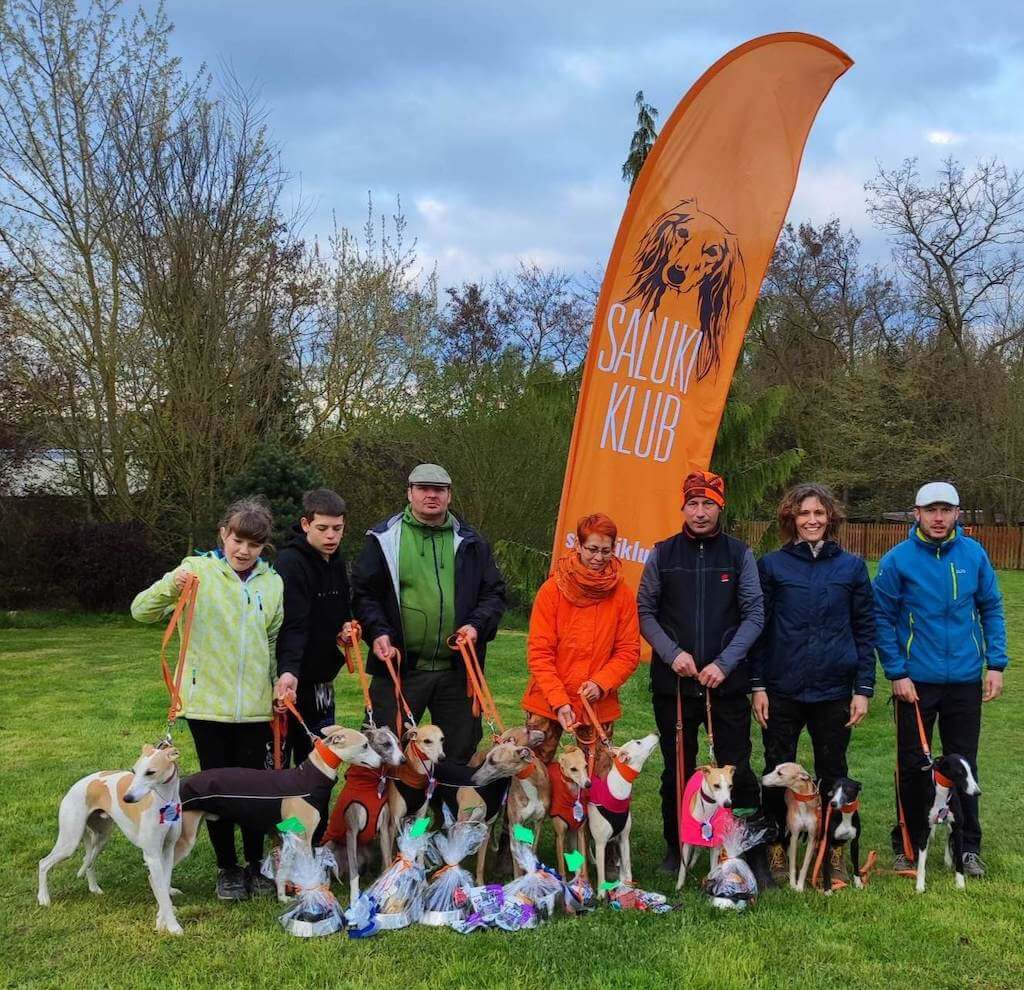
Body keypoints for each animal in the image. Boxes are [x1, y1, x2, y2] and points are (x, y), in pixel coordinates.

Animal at [38, 745, 186, 937]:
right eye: (134, 770)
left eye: (150, 772)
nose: (127, 799)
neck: (164, 800)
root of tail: (77, 785)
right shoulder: (152, 855)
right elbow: (160, 888)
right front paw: (173, 926)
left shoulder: (167, 850)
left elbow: (164, 886)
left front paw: (163, 919)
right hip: (69, 841)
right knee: (43, 863)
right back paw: (43, 898)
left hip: (101, 838)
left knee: (88, 861)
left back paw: (94, 888)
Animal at [761, 761, 823, 892]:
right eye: (775, 768)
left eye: (780, 773)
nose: (761, 779)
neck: (804, 801)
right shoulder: (794, 836)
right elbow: (793, 865)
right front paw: (792, 885)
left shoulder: (812, 838)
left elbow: (805, 866)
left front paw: (799, 886)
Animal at [913, 753, 983, 892]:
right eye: (960, 772)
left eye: (970, 771)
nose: (977, 792)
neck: (942, 794)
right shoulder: (924, 830)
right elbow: (921, 862)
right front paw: (920, 886)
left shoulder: (958, 829)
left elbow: (959, 859)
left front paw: (960, 884)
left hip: (951, 826)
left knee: (947, 836)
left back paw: (948, 860)